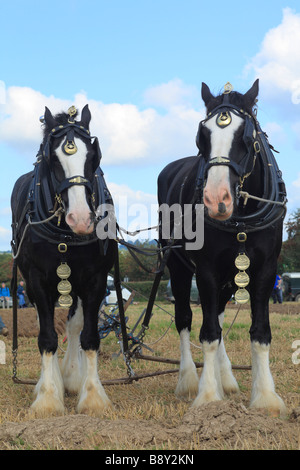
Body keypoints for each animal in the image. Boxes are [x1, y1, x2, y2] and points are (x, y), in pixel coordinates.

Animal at [10, 105, 116, 414]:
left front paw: (92, 396)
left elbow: (88, 336)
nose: (81, 219)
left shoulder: (96, 279)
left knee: (74, 325)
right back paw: (52, 381)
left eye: (93, 156)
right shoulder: (36, 280)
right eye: (51, 158)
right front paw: (47, 398)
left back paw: (70, 377)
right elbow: (47, 338)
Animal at [158, 80, 288, 414]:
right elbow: (208, 334)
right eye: (201, 136)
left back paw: (225, 376)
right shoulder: (206, 270)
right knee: (186, 319)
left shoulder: (266, 269)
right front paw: (207, 395)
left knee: (215, 313)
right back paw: (189, 380)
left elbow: (259, 332)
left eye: (248, 136)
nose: (217, 200)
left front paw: (265, 396)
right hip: (177, 267)